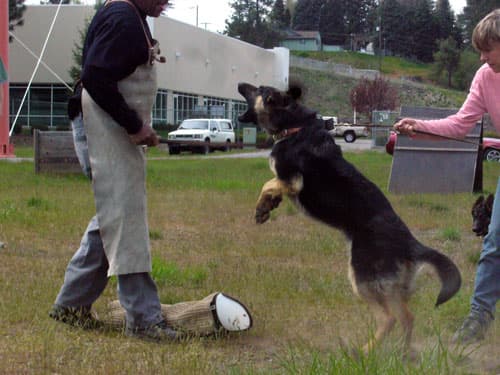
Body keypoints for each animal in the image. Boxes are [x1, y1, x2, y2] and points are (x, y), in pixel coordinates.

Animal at [236, 81, 462, 356]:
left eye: (258, 89)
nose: (240, 84)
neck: (295, 127)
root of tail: (412, 244)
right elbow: (270, 186)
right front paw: (268, 206)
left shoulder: (292, 180)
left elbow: (268, 183)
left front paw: (262, 208)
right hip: (388, 286)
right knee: (406, 317)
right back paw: (401, 353)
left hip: (362, 278)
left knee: (392, 318)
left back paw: (366, 352)